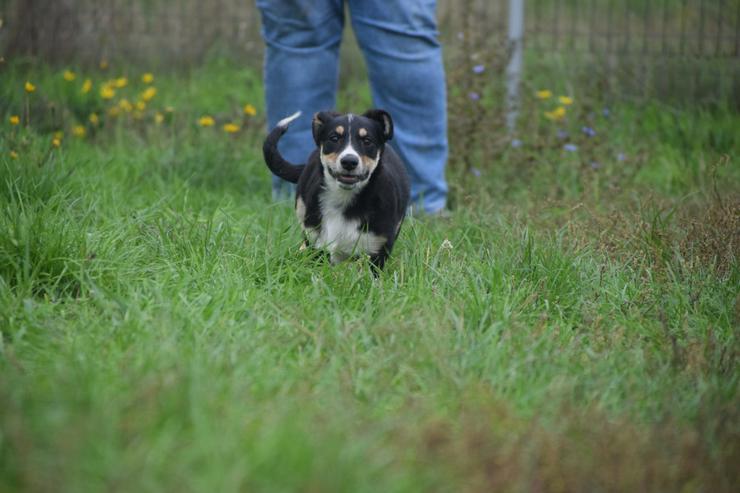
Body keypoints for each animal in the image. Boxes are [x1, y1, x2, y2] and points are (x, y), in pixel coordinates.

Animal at [264, 109, 410, 270]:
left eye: (367, 141)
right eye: (334, 138)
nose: (349, 161)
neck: (344, 199)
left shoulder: (376, 248)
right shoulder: (317, 243)